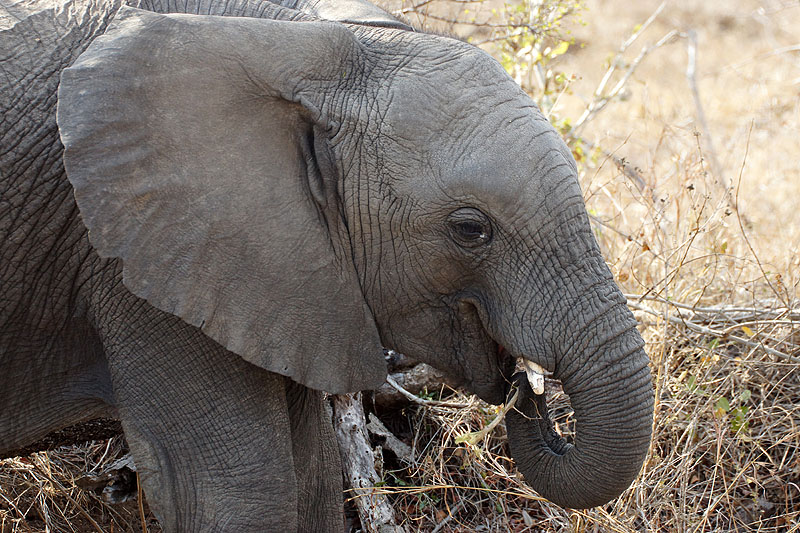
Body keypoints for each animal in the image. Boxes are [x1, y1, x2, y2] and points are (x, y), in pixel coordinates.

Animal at [0, 0, 648, 528]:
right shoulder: (143, 262)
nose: (527, 386)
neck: (303, 42)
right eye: (471, 229)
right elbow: (234, 498)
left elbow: (313, 482)